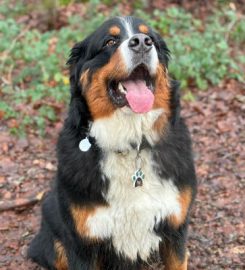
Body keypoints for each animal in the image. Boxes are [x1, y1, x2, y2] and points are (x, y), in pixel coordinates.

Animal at [28, 15, 197, 268]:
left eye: (151, 38)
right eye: (109, 41)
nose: (142, 42)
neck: (130, 142)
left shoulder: (175, 230)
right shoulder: (82, 244)